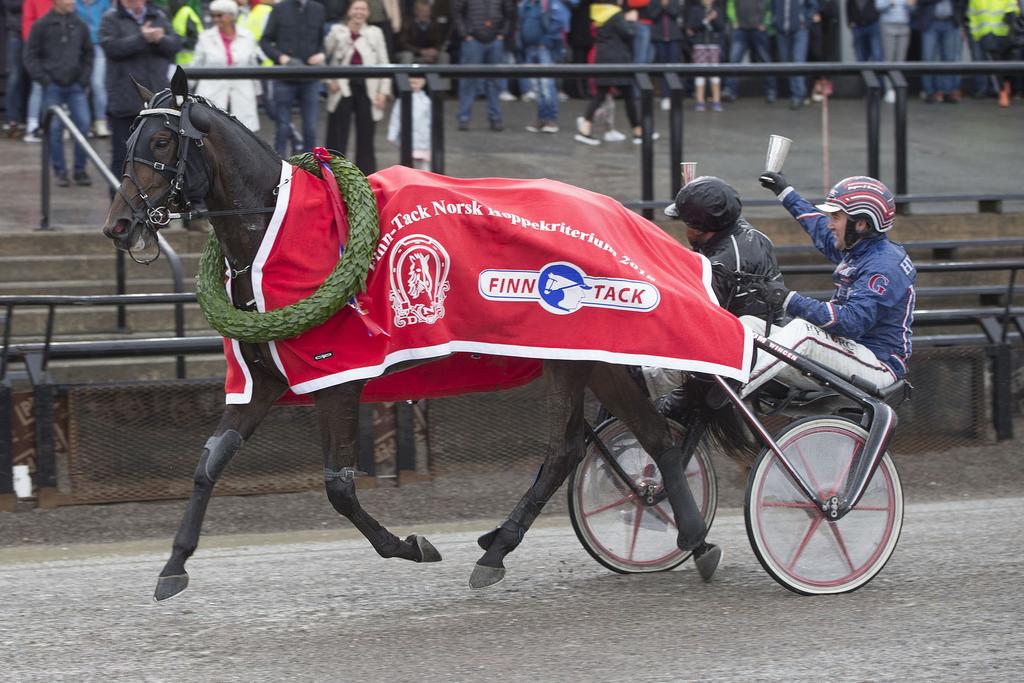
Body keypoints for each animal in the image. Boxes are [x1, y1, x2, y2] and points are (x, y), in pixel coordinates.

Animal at [99, 70, 716, 602]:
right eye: (128, 136)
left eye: (160, 140)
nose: (119, 225)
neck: (279, 230)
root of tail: (611, 211)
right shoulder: (267, 381)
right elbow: (209, 463)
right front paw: (174, 563)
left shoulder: (337, 378)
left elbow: (339, 487)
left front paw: (410, 545)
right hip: (578, 356)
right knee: (599, 446)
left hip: (587, 355)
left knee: (626, 441)